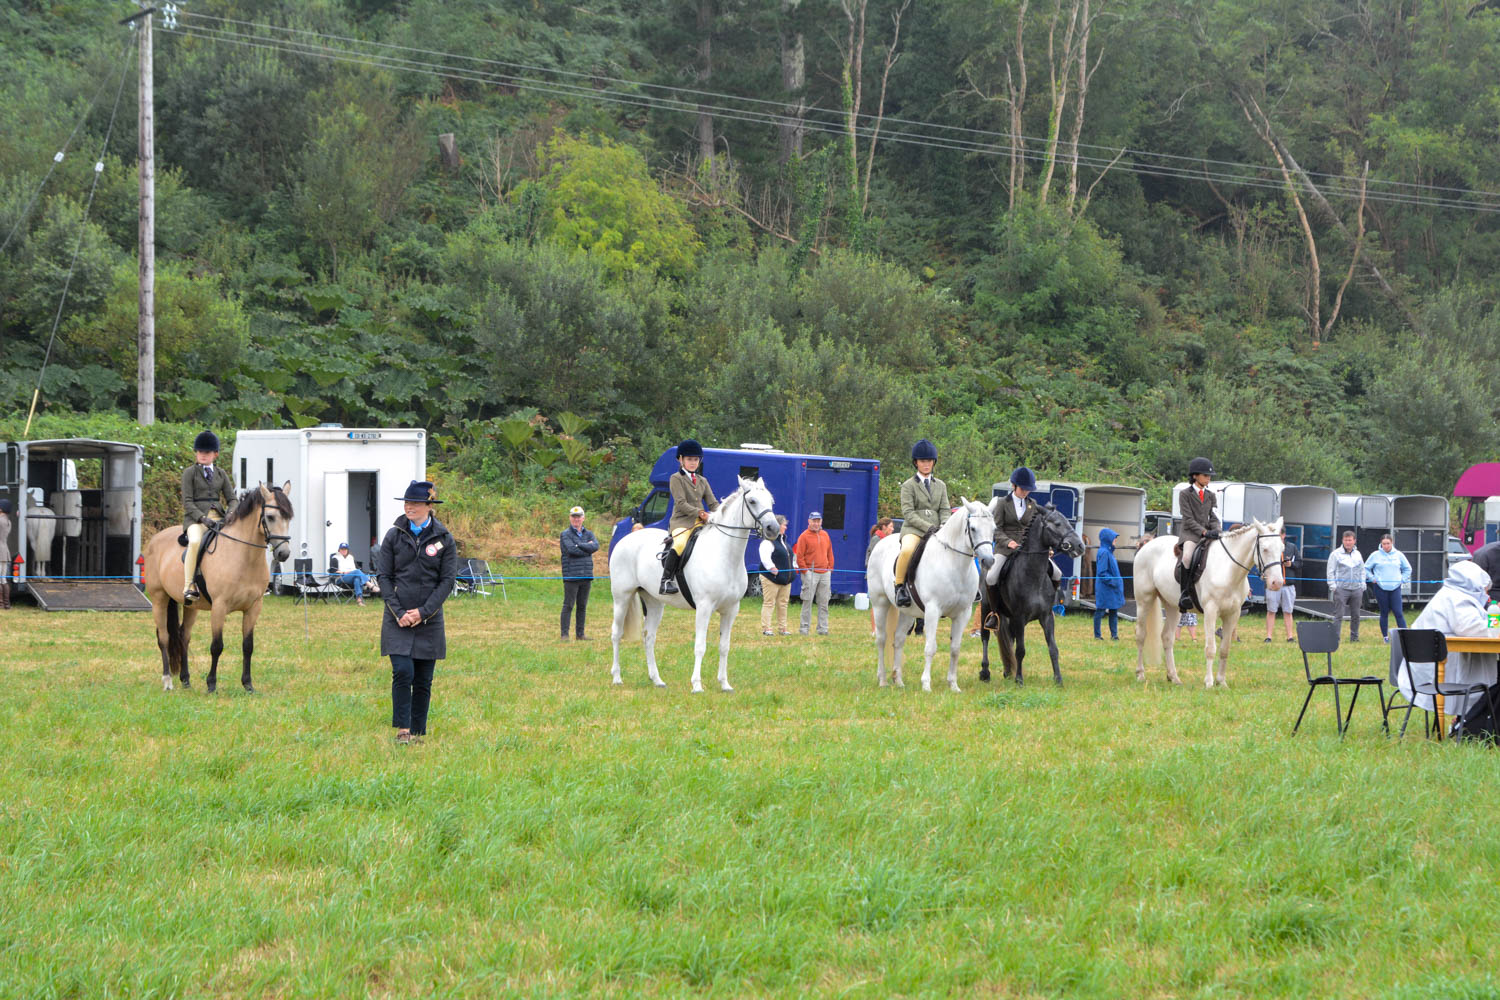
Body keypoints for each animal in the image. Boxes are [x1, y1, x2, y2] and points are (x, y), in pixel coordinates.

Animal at [142, 482, 293, 693]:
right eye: (270, 517)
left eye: (289, 517)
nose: (283, 553)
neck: (243, 556)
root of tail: (155, 539)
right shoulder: (219, 607)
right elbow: (217, 646)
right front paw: (211, 684)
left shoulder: (254, 607)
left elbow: (248, 646)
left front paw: (248, 684)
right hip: (159, 599)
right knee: (164, 637)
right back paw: (167, 681)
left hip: (190, 605)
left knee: (183, 636)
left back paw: (185, 680)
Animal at [609, 477, 780, 693]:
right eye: (752, 501)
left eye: (771, 502)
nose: (773, 529)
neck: (725, 555)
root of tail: (626, 539)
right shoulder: (704, 607)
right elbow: (700, 646)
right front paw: (697, 685)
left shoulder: (731, 610)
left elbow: (724, 647)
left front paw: (725, 684)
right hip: (622, 597)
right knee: (617, 634)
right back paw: (617, 677)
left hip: (654, 602)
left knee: (649, 637)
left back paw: (657, 680)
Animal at [866, 497, 998, 692]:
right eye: (973, 528)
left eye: (994, 528)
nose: (988, 561)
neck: (954, 564)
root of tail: (881, 543)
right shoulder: (933, 610)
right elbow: (930, 648)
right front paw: (926, 685)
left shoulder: (963, 613)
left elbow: (955, 648)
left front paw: (953, 685)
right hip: (880, 604)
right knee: (882, 640)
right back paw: (882, 679)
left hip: (907, 612)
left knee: (898, 639)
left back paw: (898, 680)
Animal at [978, 503, 1085, 686]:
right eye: (1057, 524)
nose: (1079, 546)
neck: (1034, 577)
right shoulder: (1019, 617)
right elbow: (1021, 650)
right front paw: (1019, 680)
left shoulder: (1046, 617)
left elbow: (1053, 648)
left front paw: (1058, 679)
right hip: (986, 608)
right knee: (985, 637)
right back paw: (985, 673)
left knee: (1009, 639)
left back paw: (1008, 671)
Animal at [1132, 517, 1285, 688]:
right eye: (1265, 549)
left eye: (1281, 548)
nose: (1277, 583)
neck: (1228, 569)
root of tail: (1146, 546)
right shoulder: (1211, 611)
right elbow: (1211, 648)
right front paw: (1209, 682)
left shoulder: (1233, 614)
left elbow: (1225, 649)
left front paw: (1222, 682)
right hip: (1144, 600)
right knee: (1141, 635)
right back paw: (1140, 674)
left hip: (1173, 606)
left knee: (1167, 637)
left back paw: (1174, 677)